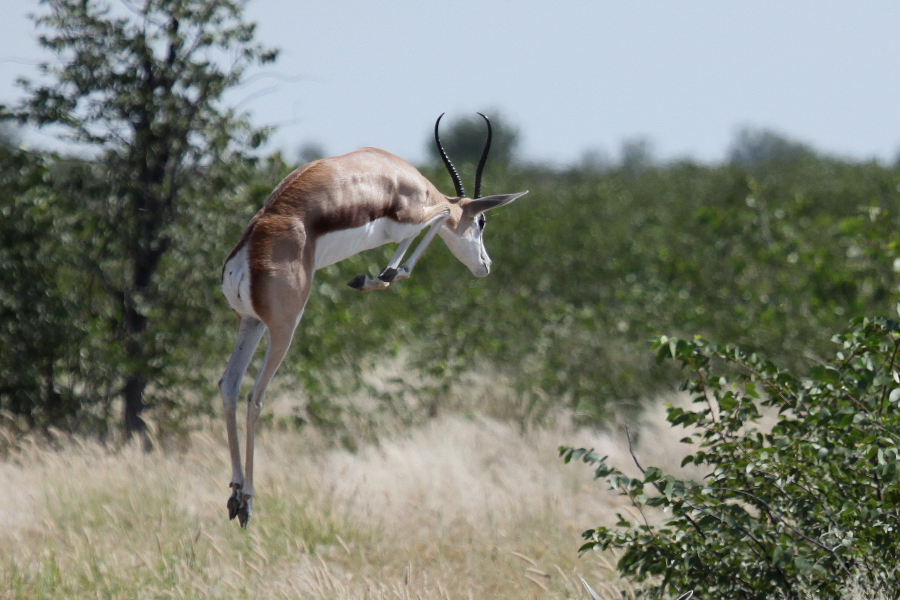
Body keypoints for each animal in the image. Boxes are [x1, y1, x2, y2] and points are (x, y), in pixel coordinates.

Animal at [219, 112, 528, 524]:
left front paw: (374, 277)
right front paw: (381, 275)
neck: (393, 172)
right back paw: (249, 500)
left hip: (249, 323)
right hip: (283, 328)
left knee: (229, 386)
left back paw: (236, 495)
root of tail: (247, 251)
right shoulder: (414, 215)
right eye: (481, 223)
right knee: (255, 396)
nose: (485, 266)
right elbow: (436, 219)